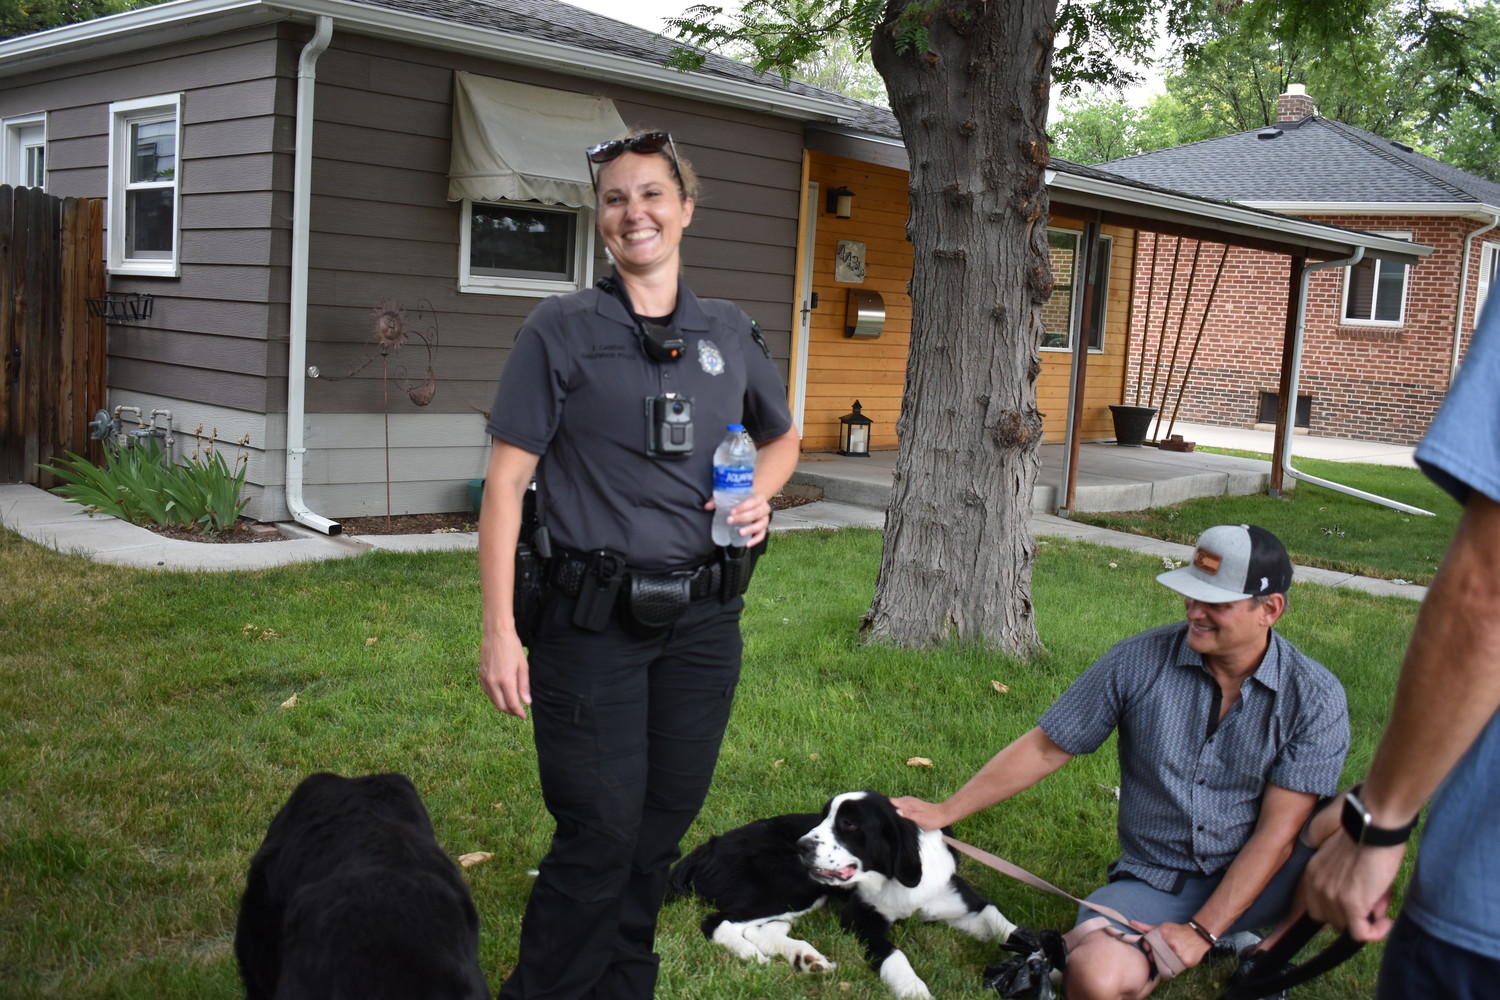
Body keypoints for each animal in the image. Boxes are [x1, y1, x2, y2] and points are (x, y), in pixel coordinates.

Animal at [672, 791, 1014, 1000]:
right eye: (823, 818)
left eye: (849, 823)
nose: (801, 846)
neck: (893, 879)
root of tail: (708, 847)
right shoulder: (861, 920)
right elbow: (895, 956)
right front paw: (914, 990)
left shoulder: (961, 900)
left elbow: (1001, 922)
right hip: (796, 884)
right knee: (718, 922)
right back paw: (753, 956)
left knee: (766, 929)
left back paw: (806, 959)